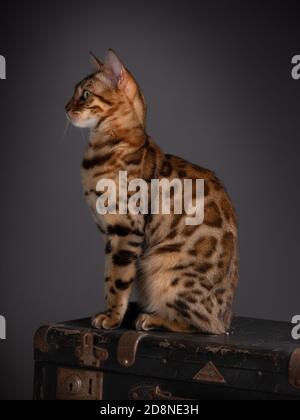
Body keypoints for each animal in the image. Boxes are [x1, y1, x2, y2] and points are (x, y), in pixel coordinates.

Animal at [66, 49, 239, 334]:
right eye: (74, 93)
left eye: (86, 94)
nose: (66, 108)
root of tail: (226, 318)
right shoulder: (109, 236)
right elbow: (108, 277)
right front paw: (110, 313)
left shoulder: (126, 231)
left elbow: (117, 281)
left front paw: (112, 317)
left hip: (161, 268)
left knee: (202, 324)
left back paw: (152, 318)